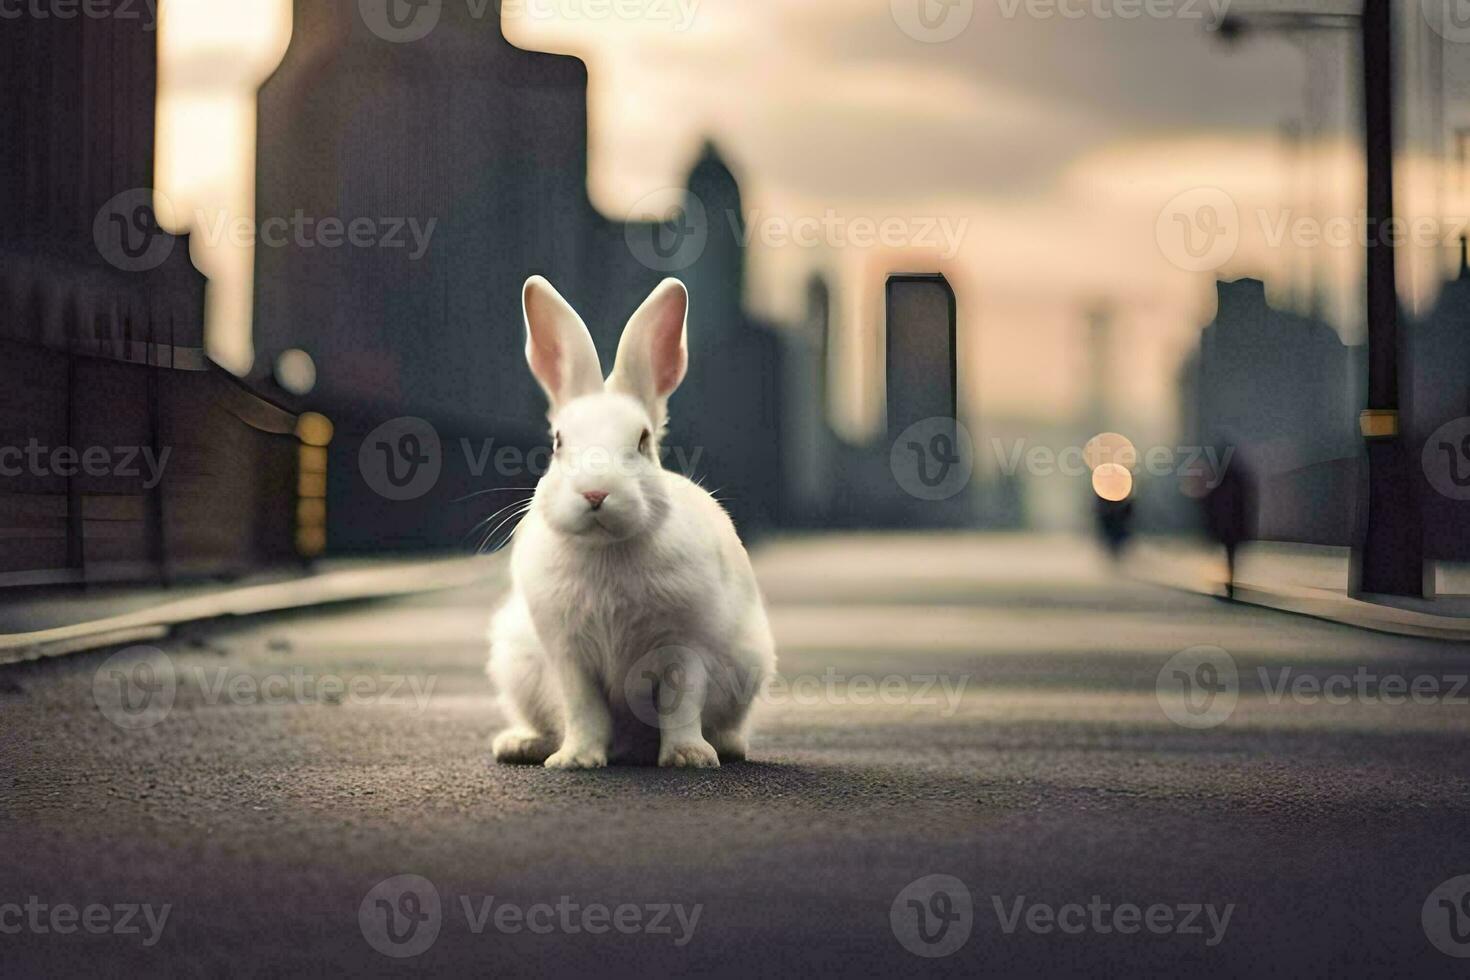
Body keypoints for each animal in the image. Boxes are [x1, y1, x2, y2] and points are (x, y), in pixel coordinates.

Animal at [488, 274, 776, 764]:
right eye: (558, 442)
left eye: (642, 441)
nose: (595, 492)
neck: (605, 549)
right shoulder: (568, 656)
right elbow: (584, 710)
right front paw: (576, 759)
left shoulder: (686, 647)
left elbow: (681, 704)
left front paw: (688, 758)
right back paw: (519, 744)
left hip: (751, 660)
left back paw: (727, 746)